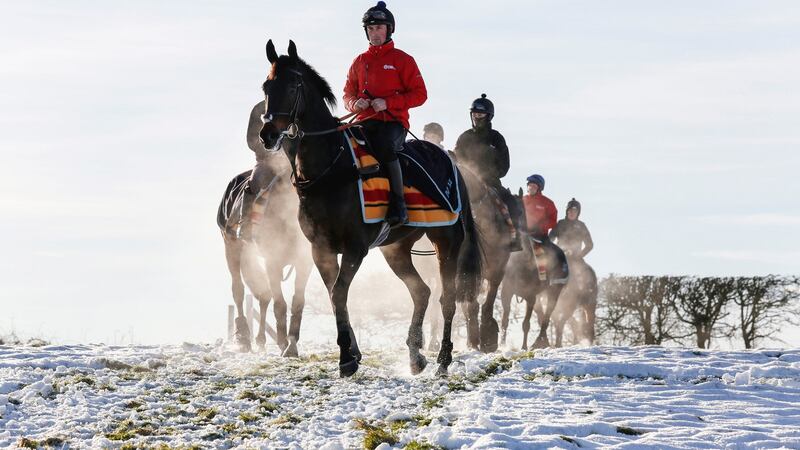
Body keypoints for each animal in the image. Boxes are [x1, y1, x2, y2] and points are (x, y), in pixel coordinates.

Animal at [217, 158, 314, 356]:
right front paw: (283, 343)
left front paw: (291, 344)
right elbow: (279, 304)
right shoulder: (272, 261)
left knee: (263, 296)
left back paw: (260, 340)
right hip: (231, 246)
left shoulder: (304, 263)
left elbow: (297, 302)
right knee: (239, 291)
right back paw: (243, 338)